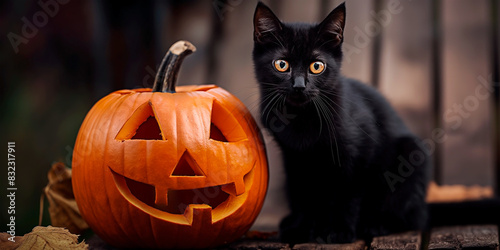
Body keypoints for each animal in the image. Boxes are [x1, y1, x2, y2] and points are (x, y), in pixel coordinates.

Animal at [254, 1, 430, 244]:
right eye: (281, 64)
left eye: (317, 66)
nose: (299, 85)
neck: (300, 118)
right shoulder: (294, 158)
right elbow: (302, 195)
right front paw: (301, 229)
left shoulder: (359, 154)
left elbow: (348, 195)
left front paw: (339, 231)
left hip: (412, 151)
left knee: (408, 216)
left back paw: (374, 225)